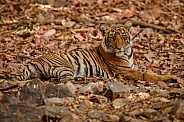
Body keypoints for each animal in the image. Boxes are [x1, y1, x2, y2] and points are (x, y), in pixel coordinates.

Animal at [4, 20, 174, 82]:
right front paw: (169, 78)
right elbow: (147, 75)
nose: (119, 47)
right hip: (65, 66)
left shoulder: (131, 67)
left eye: (123, 35)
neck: (127, 53)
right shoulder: (125, 71)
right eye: (112, 37)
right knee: (63, 80)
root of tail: (30, 62)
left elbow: (146, 71)